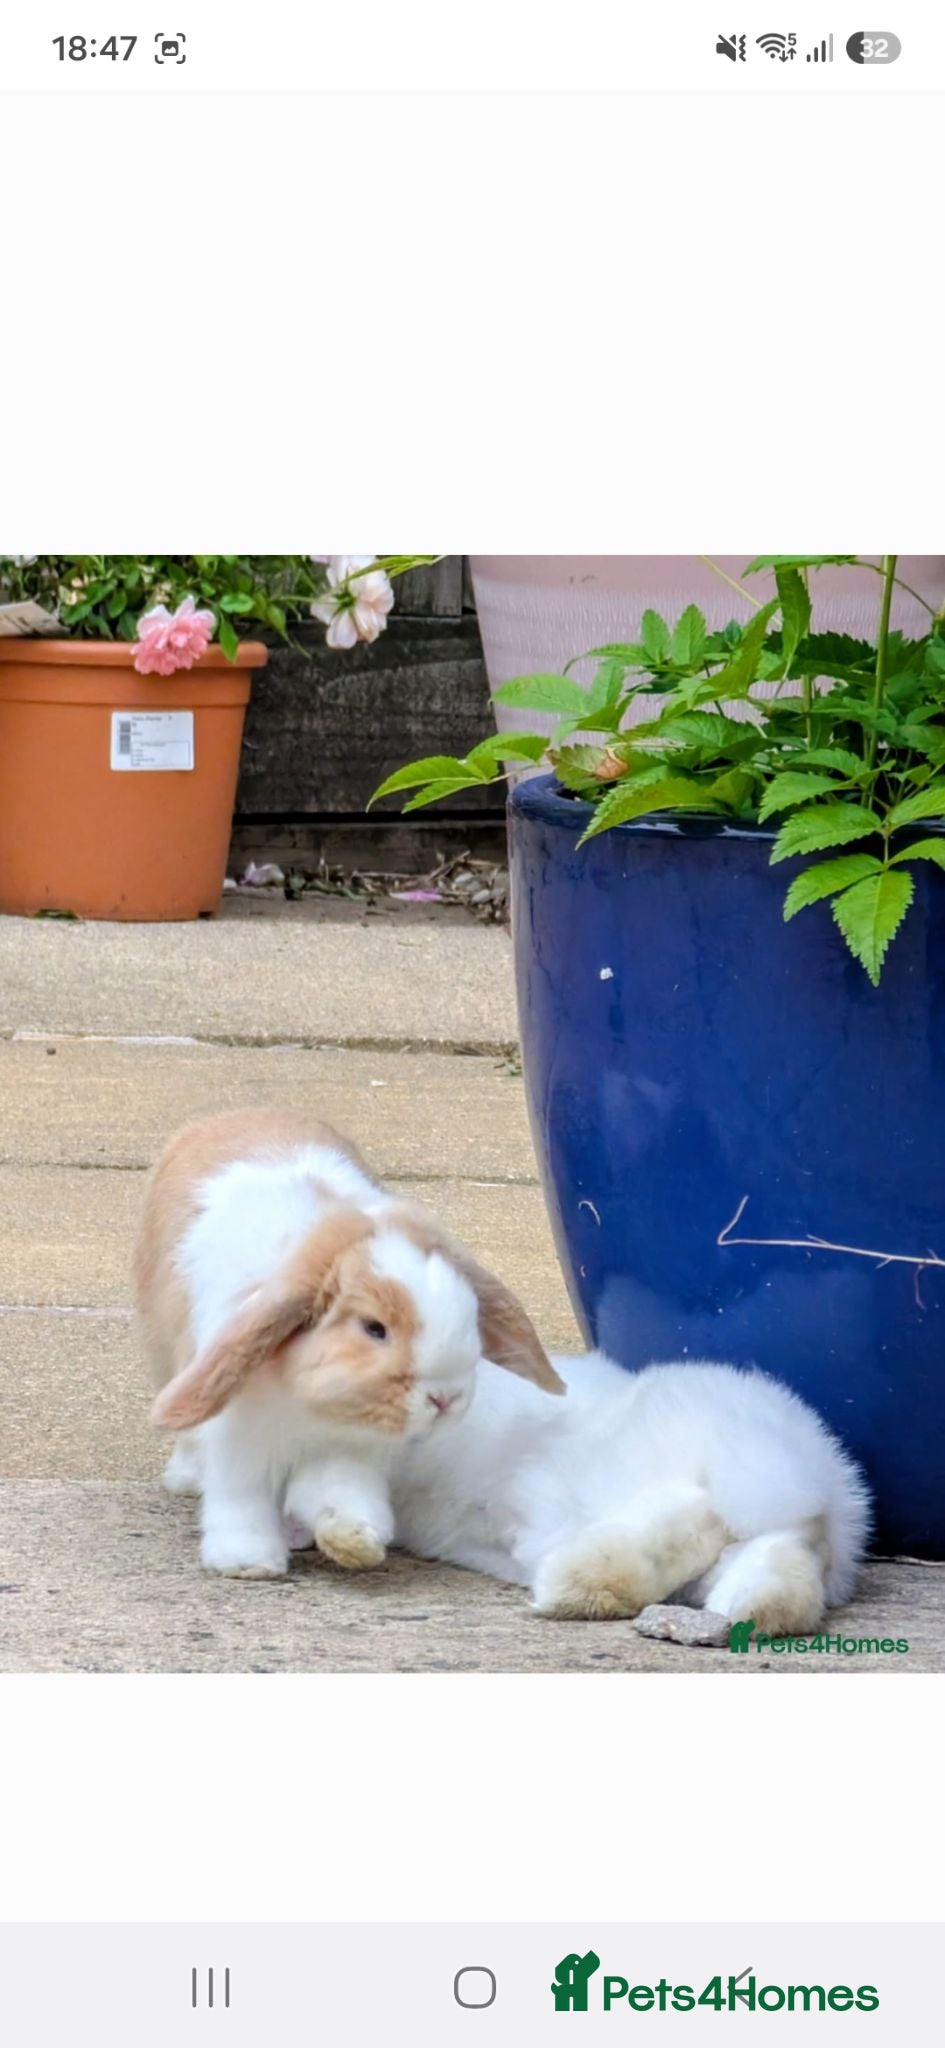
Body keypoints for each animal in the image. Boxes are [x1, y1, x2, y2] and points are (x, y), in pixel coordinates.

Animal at [134, 1107, 563, 1578]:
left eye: (470, 1310)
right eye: (374, 1328)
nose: (445, 1399)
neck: (310, 1403)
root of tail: (236, 1114)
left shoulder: (350, 1449)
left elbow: (340, 1493)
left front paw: (356, 1540)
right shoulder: (240, 1438)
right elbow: (242, 1497)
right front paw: (248, 1561)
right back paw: (188, 1480)